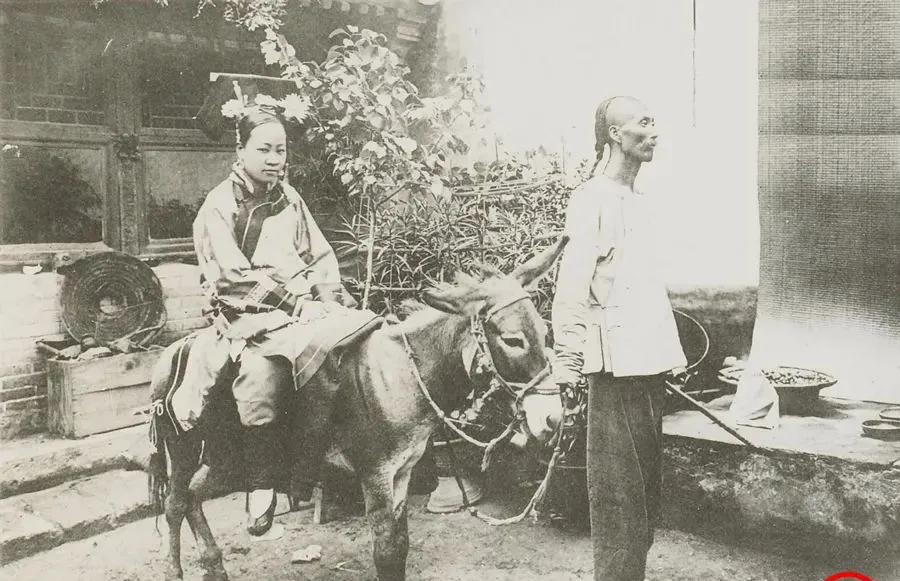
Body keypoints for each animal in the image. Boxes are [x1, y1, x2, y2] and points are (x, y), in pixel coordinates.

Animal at [147, 237, 568, 581]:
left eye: (545, 333)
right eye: (512, 340)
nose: (554, 418)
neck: (399, 376)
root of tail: (175, 349)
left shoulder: (401, 473)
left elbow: (399, 546)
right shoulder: (375, 475)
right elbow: (385, 552)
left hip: (224, 454)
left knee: (194, 495)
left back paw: (215, 566)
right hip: (183, 447)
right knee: (174, 504)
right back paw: (176, 571)